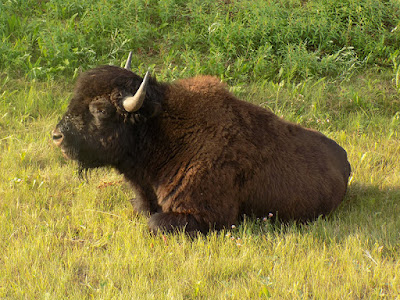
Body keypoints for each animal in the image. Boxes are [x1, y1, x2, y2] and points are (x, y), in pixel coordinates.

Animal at [52, 52, 350, 233]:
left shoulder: (203, 216)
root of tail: (344, 158)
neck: (162, 134)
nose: (57, 136)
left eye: (101, 109)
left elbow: (154, 222)